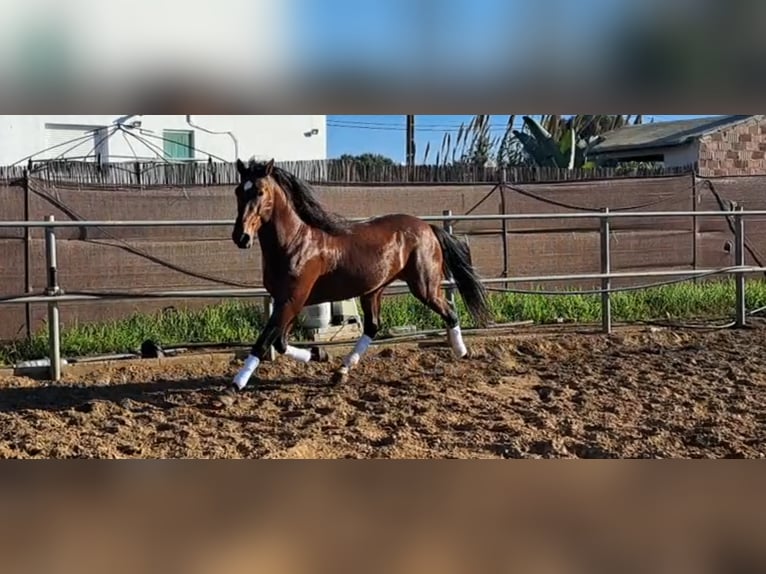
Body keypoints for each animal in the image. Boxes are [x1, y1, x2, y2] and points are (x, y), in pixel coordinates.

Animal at [218, 160, 492, 408]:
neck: (295, 242)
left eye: (260, 191)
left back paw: (463, 353)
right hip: (374, 290)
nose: (241, 237)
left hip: (424, 287)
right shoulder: (288, 302)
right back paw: (341, 372)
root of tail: (428, 227)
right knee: (372, 327)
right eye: (238, 190)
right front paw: (320, 355)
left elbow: (263, 342)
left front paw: (231, 389)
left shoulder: (292, 300)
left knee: (450, 312)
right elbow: (280, 343)